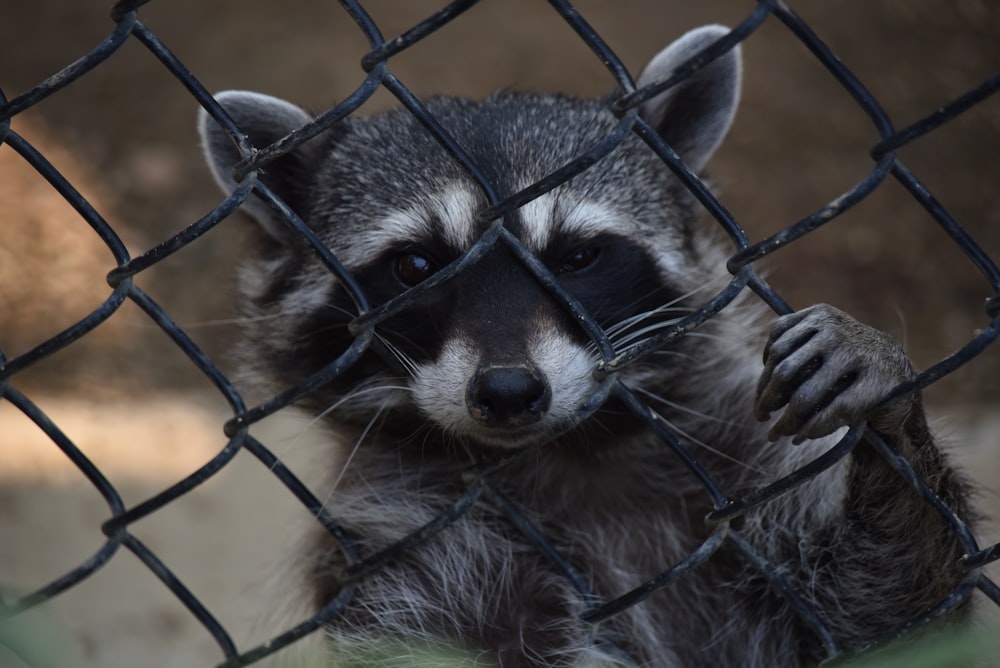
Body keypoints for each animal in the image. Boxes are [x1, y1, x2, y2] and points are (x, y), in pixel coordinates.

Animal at [199, 24, 972, 668]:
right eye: (416, 266)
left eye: (576, 258)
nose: (509, 392)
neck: (565, 450)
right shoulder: (406, 541)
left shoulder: (739, 466)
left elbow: (893, 615)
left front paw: (881, 389)